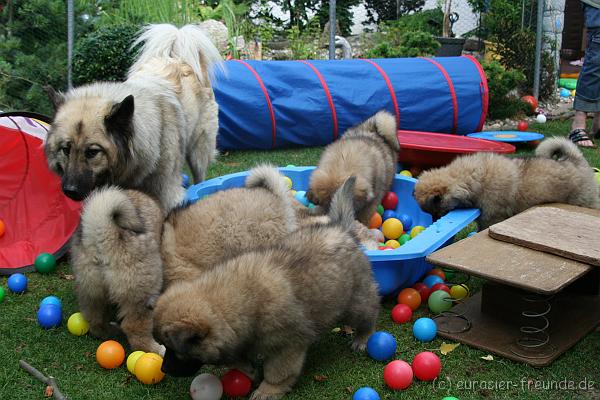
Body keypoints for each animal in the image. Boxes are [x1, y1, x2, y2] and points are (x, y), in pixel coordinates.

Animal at [44, 24, 223, 212]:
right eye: (66, 149)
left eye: (92, 152)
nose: (70, 190)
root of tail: (178, 57)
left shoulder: (167, 192)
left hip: (199, 152)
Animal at [71, 165, 296, 354]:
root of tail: (101, 229)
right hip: (142, 287)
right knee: (134, 326)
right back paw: (156, 349)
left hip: (91, 289)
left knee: (94, 318)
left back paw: (109, 330)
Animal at [154, 177, 380, 400]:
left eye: (175, 350)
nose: (164, 369)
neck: (240, 298)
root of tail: (340, 228)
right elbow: (237, 358)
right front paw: (249, 370)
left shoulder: (286, 346)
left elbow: (278, 372)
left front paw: (267, 390)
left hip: (355, 301)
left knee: (369, 313)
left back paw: (362, 338)